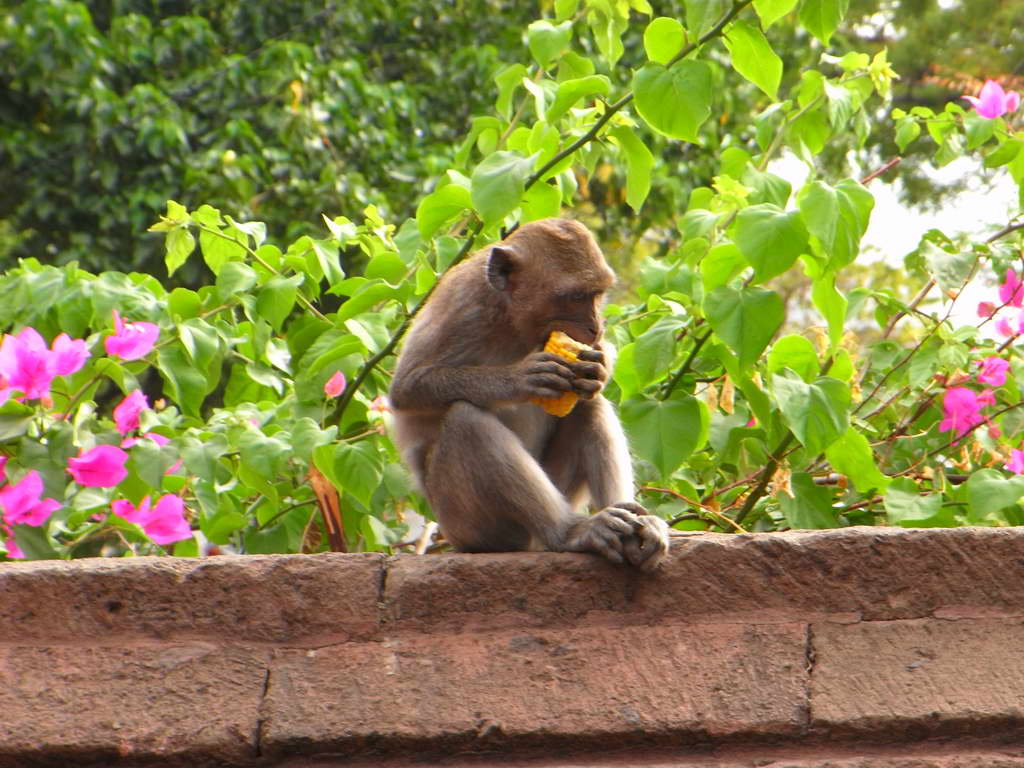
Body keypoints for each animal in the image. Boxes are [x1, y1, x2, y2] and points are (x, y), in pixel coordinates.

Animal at [387, 217, 667, 573]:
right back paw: (569, 532)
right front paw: (518, 379)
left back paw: (632, 521)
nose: (596, 328)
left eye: (597, 294)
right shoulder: (462, 304)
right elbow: (407, 388)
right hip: (469, 524)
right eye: (575, 296)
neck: (512, 317)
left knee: (586, 406)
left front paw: (601, 363)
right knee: (466, 420)